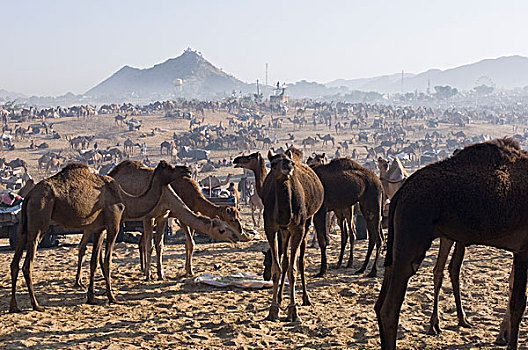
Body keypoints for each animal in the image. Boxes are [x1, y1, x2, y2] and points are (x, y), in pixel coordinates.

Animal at [9, 161, 190, 312]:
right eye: (170, 167)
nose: (186, 169)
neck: (125, 199)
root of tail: (28, 196)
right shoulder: (113, 224)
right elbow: (107, 261)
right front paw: (112, 297)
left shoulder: (98, 229)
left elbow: (94, 262)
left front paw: (91, 297)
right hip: (39, 221)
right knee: (27, 265)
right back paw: (36, 305)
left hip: (24, 227)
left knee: (14, 263)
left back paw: (14, 306)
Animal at [262, 149, 324, 322]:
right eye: (273, 163)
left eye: (290, 162)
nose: (288, 165)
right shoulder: (270, 228)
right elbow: (277, 269)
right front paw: (273, 309)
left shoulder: (298, 228)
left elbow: (293, 269)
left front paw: (293, 310)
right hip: (284, 231)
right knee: (285, 260)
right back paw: (280, 297)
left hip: (307, 222)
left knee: (300, 260)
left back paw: (306, 298)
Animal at [378, 137, 528, 350]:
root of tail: (401, 192)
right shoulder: (523, 248)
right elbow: (518, 303)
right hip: (411, 236)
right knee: (389, 309)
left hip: (398, 242)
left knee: (380, 301)